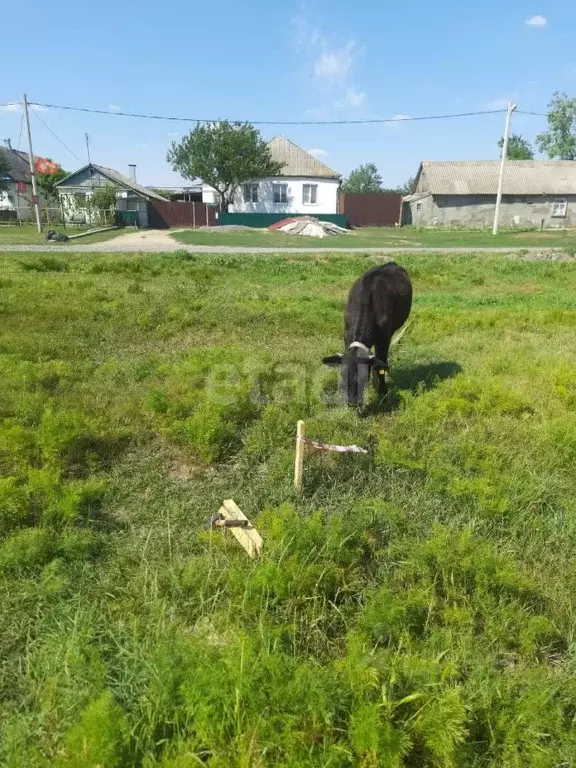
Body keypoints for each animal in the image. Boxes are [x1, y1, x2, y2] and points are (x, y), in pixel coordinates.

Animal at [322, 262, 412, 408]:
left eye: (365, 377)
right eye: (343, 375)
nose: (353, 403)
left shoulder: (384, 339)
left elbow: (381, 364)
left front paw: (382, 391)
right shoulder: (347, 333)